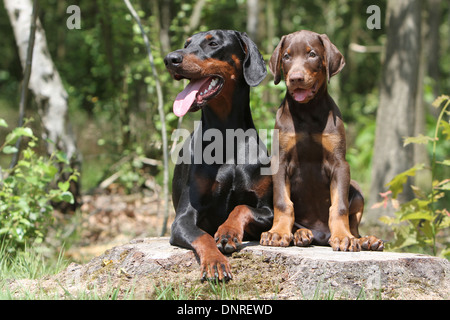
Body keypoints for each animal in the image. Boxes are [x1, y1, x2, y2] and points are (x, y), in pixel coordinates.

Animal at [163, 30, 272, 280]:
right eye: (186, 44)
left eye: (213, 43)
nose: (170, 59)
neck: (226, 137)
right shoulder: (182, 218)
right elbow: (203, 235)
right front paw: (215, 261)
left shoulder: (268, 210)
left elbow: (241, 208)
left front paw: (228, 231)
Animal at [260, 30, 384, 251]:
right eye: (286, 56)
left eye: (312, 54)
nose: (296, 78)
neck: (308, 111)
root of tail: (321, 237)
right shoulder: (280, 161)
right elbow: (283, 202)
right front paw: (278, 233)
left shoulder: (339, 164)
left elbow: (340, 206)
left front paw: (343, 237)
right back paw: (300, 234)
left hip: (357, 190)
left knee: (355, 225)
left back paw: (365, 240)